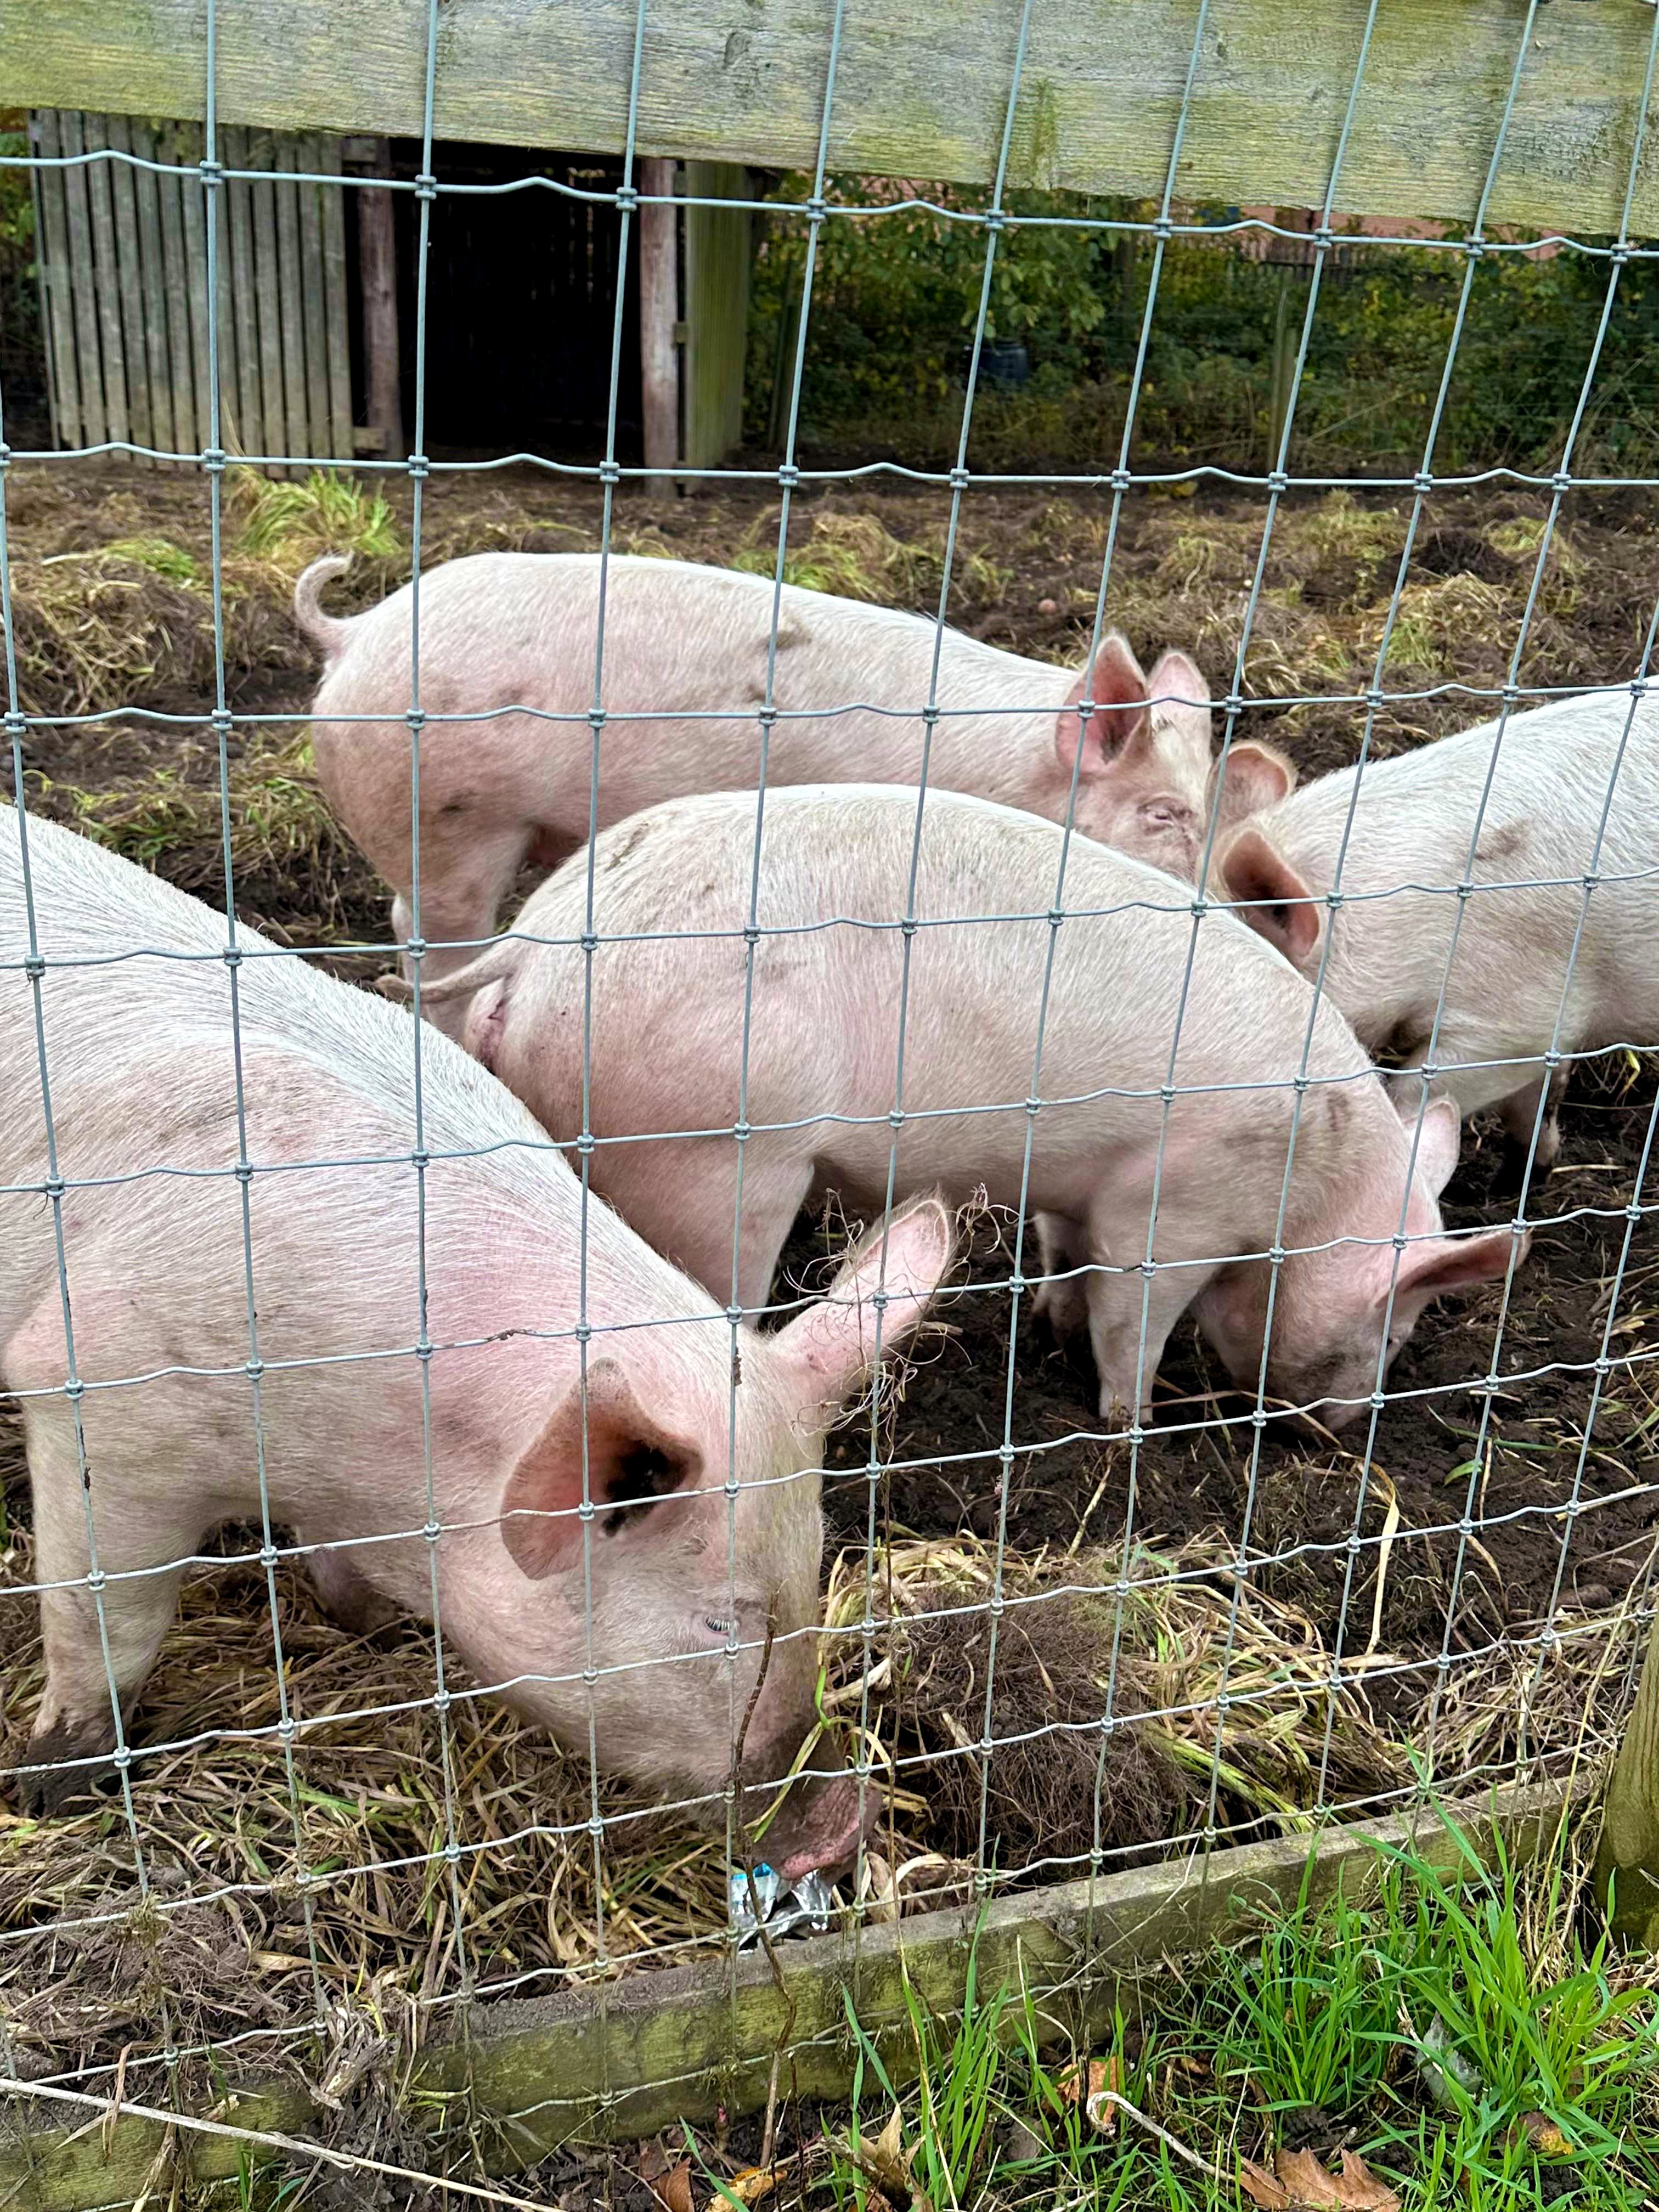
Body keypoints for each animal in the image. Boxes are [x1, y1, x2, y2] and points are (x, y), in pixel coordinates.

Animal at [0, 802, 953, 1874]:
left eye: (813, 1580)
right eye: (719, 1618)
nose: (842, 1824)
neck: (370, 1454)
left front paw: (374, 1628)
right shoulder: (99, 1398)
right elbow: (103, 1614)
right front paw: (54, 1782)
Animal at [395, 785, 1524, 1430]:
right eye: (1397, 1328)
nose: (1345, 1429)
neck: (1309, 1187)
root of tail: (536, 940)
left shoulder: (1081, 1182)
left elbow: (1065, 1257)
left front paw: (1049, 1326)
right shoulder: (1175, 1203)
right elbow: (1133, 1316)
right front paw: (1128, 1428)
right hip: (710, 1158)